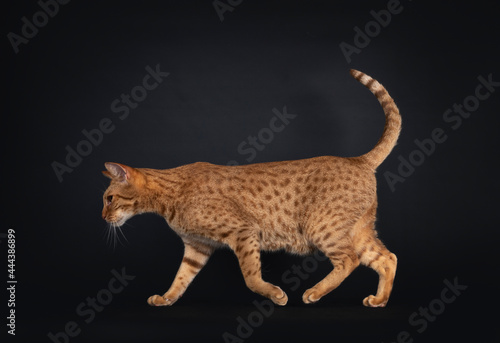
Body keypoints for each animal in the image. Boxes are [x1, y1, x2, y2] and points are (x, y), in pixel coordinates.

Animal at [101, 70, 402, 310]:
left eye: (109, 199)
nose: (103, 217)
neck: (168, 197)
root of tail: (359, 159)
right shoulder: (197, 247)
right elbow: (180, 279)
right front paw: (166, 299)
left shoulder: (243, 231)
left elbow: (250, 276)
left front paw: (275, 295)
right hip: (357, 230)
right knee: (387, 257)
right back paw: (380, 300)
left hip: (322, 226)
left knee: (349, 260)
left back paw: (315, 292)